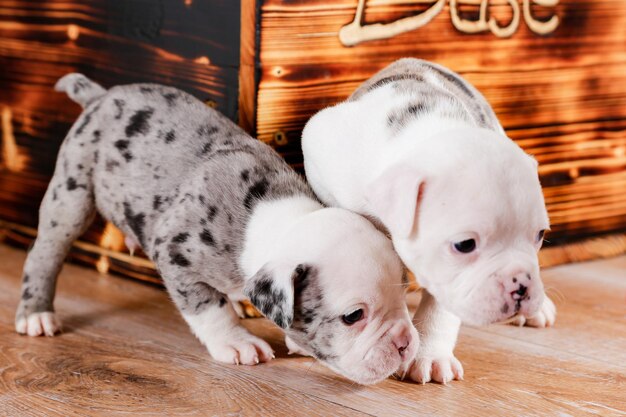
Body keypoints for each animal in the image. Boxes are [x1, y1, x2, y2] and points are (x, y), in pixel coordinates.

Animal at [14, 74, 416, 384]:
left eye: (403, 294)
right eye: (353, 316)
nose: (405, 344)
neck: (274, 219)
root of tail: (100, 96)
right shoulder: (174, 251)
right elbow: (207, 306)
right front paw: (235, 341)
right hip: (71, 197)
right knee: (44, 253)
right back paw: (36, 313)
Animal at [302, 58, 556, 384]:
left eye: (539, 235)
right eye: (465, 245)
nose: (521, 286)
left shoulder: (445, 277)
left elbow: (442, 303)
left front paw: (430, 354)